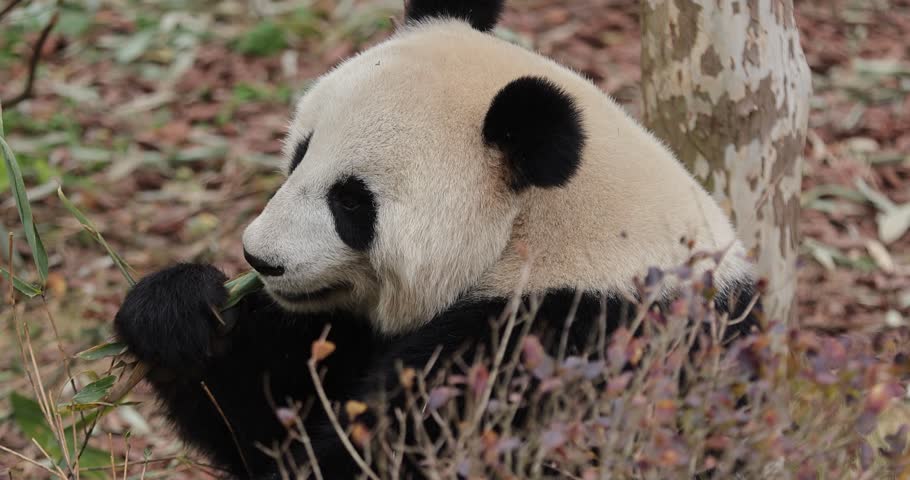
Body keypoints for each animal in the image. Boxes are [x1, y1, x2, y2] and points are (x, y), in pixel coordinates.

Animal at [113, 1, 759, 479]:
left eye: (352, 201)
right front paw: (179, 312)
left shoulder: (563, 342)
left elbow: (394, 450)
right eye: (299, 153)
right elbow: (272, 408)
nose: (260, 259)